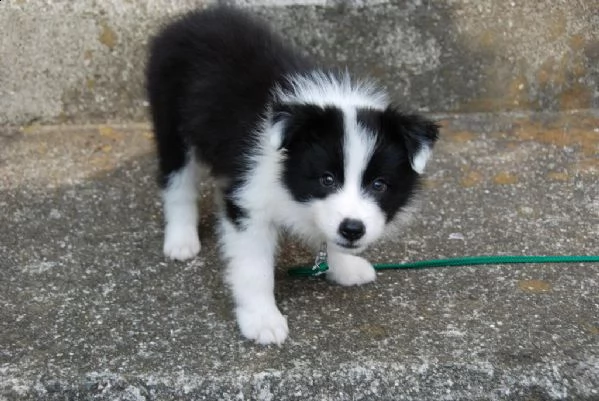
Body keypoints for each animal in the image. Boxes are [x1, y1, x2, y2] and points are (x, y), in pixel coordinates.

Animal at [148, 5, 438, 344]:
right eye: (327, 179)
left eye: (379, 185)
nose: (353, 229)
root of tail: (192, 17)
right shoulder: (251, 203)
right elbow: (254, 268)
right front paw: (262, 320)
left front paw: (343, 267)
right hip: (171, 120)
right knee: (177, 182)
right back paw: (181, 239)